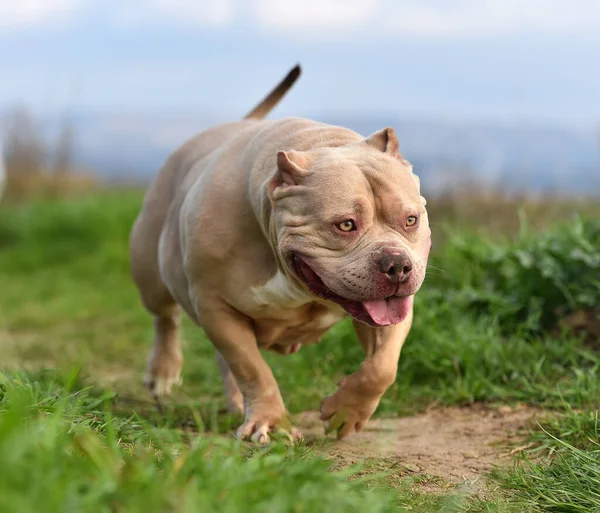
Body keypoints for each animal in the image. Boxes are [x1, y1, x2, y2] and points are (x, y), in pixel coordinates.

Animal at [130, 63, 432, 440]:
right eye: (345, 225)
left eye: (411, 220)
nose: (396, 265)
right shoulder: (215, 306)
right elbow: (252, 368)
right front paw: (271, 423)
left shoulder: (390, 313)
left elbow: (382, 367)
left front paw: (345, 411)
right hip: (149, 269)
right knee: (166, 317)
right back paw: (163, 372)